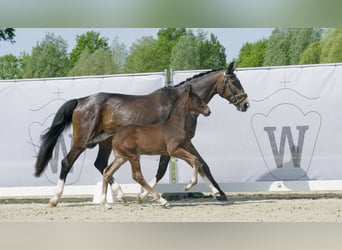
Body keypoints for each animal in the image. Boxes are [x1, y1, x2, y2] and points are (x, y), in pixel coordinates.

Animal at [34, 62, 248, 207]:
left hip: (106, 142)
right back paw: (55, 199)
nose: (245, 104)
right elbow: (162, 170)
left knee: (101, 164)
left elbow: (203, 164)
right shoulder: (171, 146)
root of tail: (81, 100)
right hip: (82, 141)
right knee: (67, 162)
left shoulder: (185, 143)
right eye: (234, 81)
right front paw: (146, 196)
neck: (177, 104)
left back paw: (119, 196)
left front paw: (219, 193)